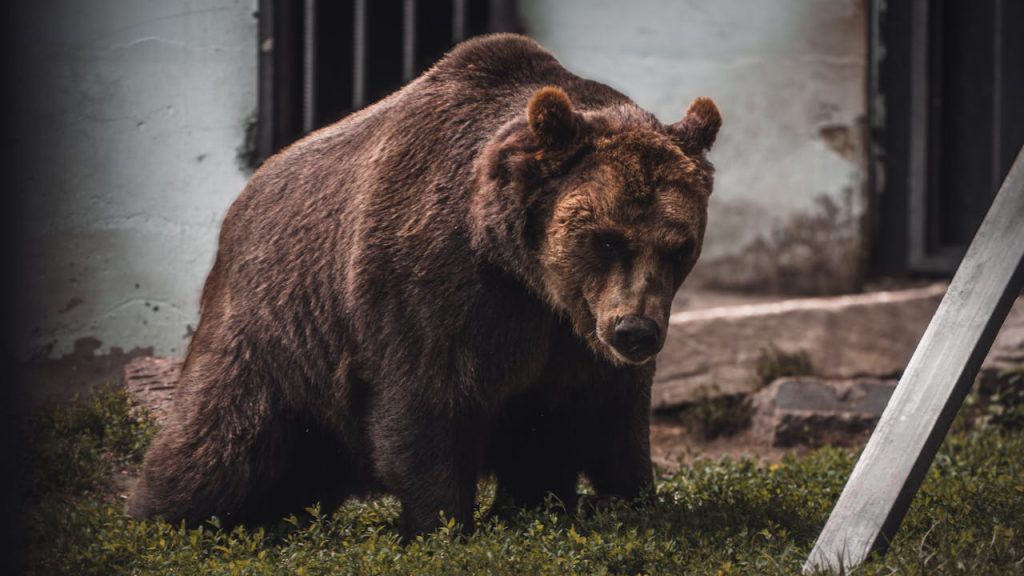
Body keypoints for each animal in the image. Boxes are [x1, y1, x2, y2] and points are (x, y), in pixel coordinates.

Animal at [129, 33, 721, 539]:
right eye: (605, 239)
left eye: (678, 246)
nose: (636, 331)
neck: (525, 273)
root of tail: (242, 201)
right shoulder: (433, 288)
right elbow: (428, 405)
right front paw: (441, 526)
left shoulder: (573, 335)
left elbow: (609, 417)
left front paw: (634, 499)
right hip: (276, 328)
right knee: (220, 445)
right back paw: (163, 517)